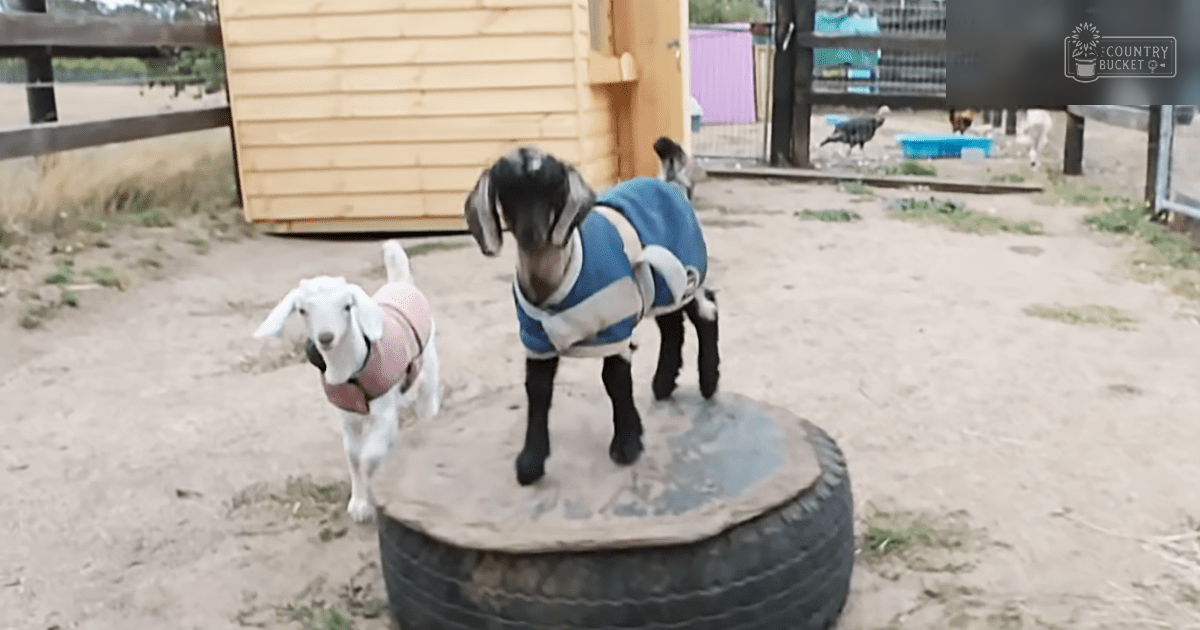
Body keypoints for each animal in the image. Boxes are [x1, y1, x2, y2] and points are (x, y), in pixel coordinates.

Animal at [253, 239, 442, 523]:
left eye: (347, 306)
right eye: (302, 310)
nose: (326, 337)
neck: (349, 370)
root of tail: (401, 283)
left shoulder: (382, 411)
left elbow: (368, 458)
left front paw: (370, 502)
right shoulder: (348, 416)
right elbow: (353, 457)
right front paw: (359, 504)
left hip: (427, 364)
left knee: (427, 404)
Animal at [463, 137, 719, 487]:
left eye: (555, 189)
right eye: (507, 191)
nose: (532, 235)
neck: (559, 274)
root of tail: (672, 185)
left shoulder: (615, 324)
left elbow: (615, 381)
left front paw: (627, 444)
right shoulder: (536, 339)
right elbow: (538, 390)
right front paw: (531, 462)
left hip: (687, 269)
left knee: (706, 312)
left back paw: (708, 381)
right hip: (662, 285)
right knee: (672, 326)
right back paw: (664, 383)